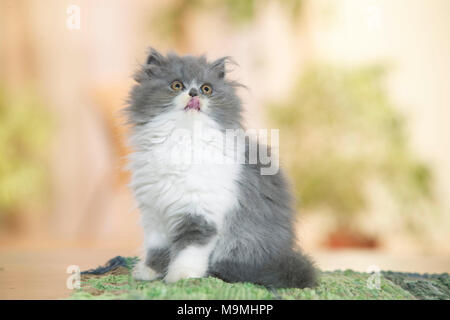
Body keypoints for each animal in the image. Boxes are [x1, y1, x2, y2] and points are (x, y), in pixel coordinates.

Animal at [125, 48, 316, 288]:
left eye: (207, 89)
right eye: (177, 85)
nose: (194, 92)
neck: (182, 139)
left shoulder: (199, 213)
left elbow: (189, 249)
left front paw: (182, 276)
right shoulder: (154, 213)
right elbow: (157, 249)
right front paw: (151, 271)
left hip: (244, 243)